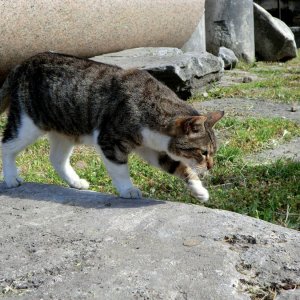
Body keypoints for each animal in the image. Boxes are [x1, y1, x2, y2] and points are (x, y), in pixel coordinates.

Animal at [0, 52, 224, 202]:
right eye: (203, 152)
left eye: (212, 152)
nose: (211, 166)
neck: (148, 107)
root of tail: (23, 63)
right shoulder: (110, 141)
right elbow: (120, 170)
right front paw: (128, 190)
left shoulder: (152, 148)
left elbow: (179, 167)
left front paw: (199, 190)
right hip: (27, 125)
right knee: (6, 146)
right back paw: (11, 178)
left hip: (65, 129)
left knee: (56, 159)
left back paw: (75, 182)